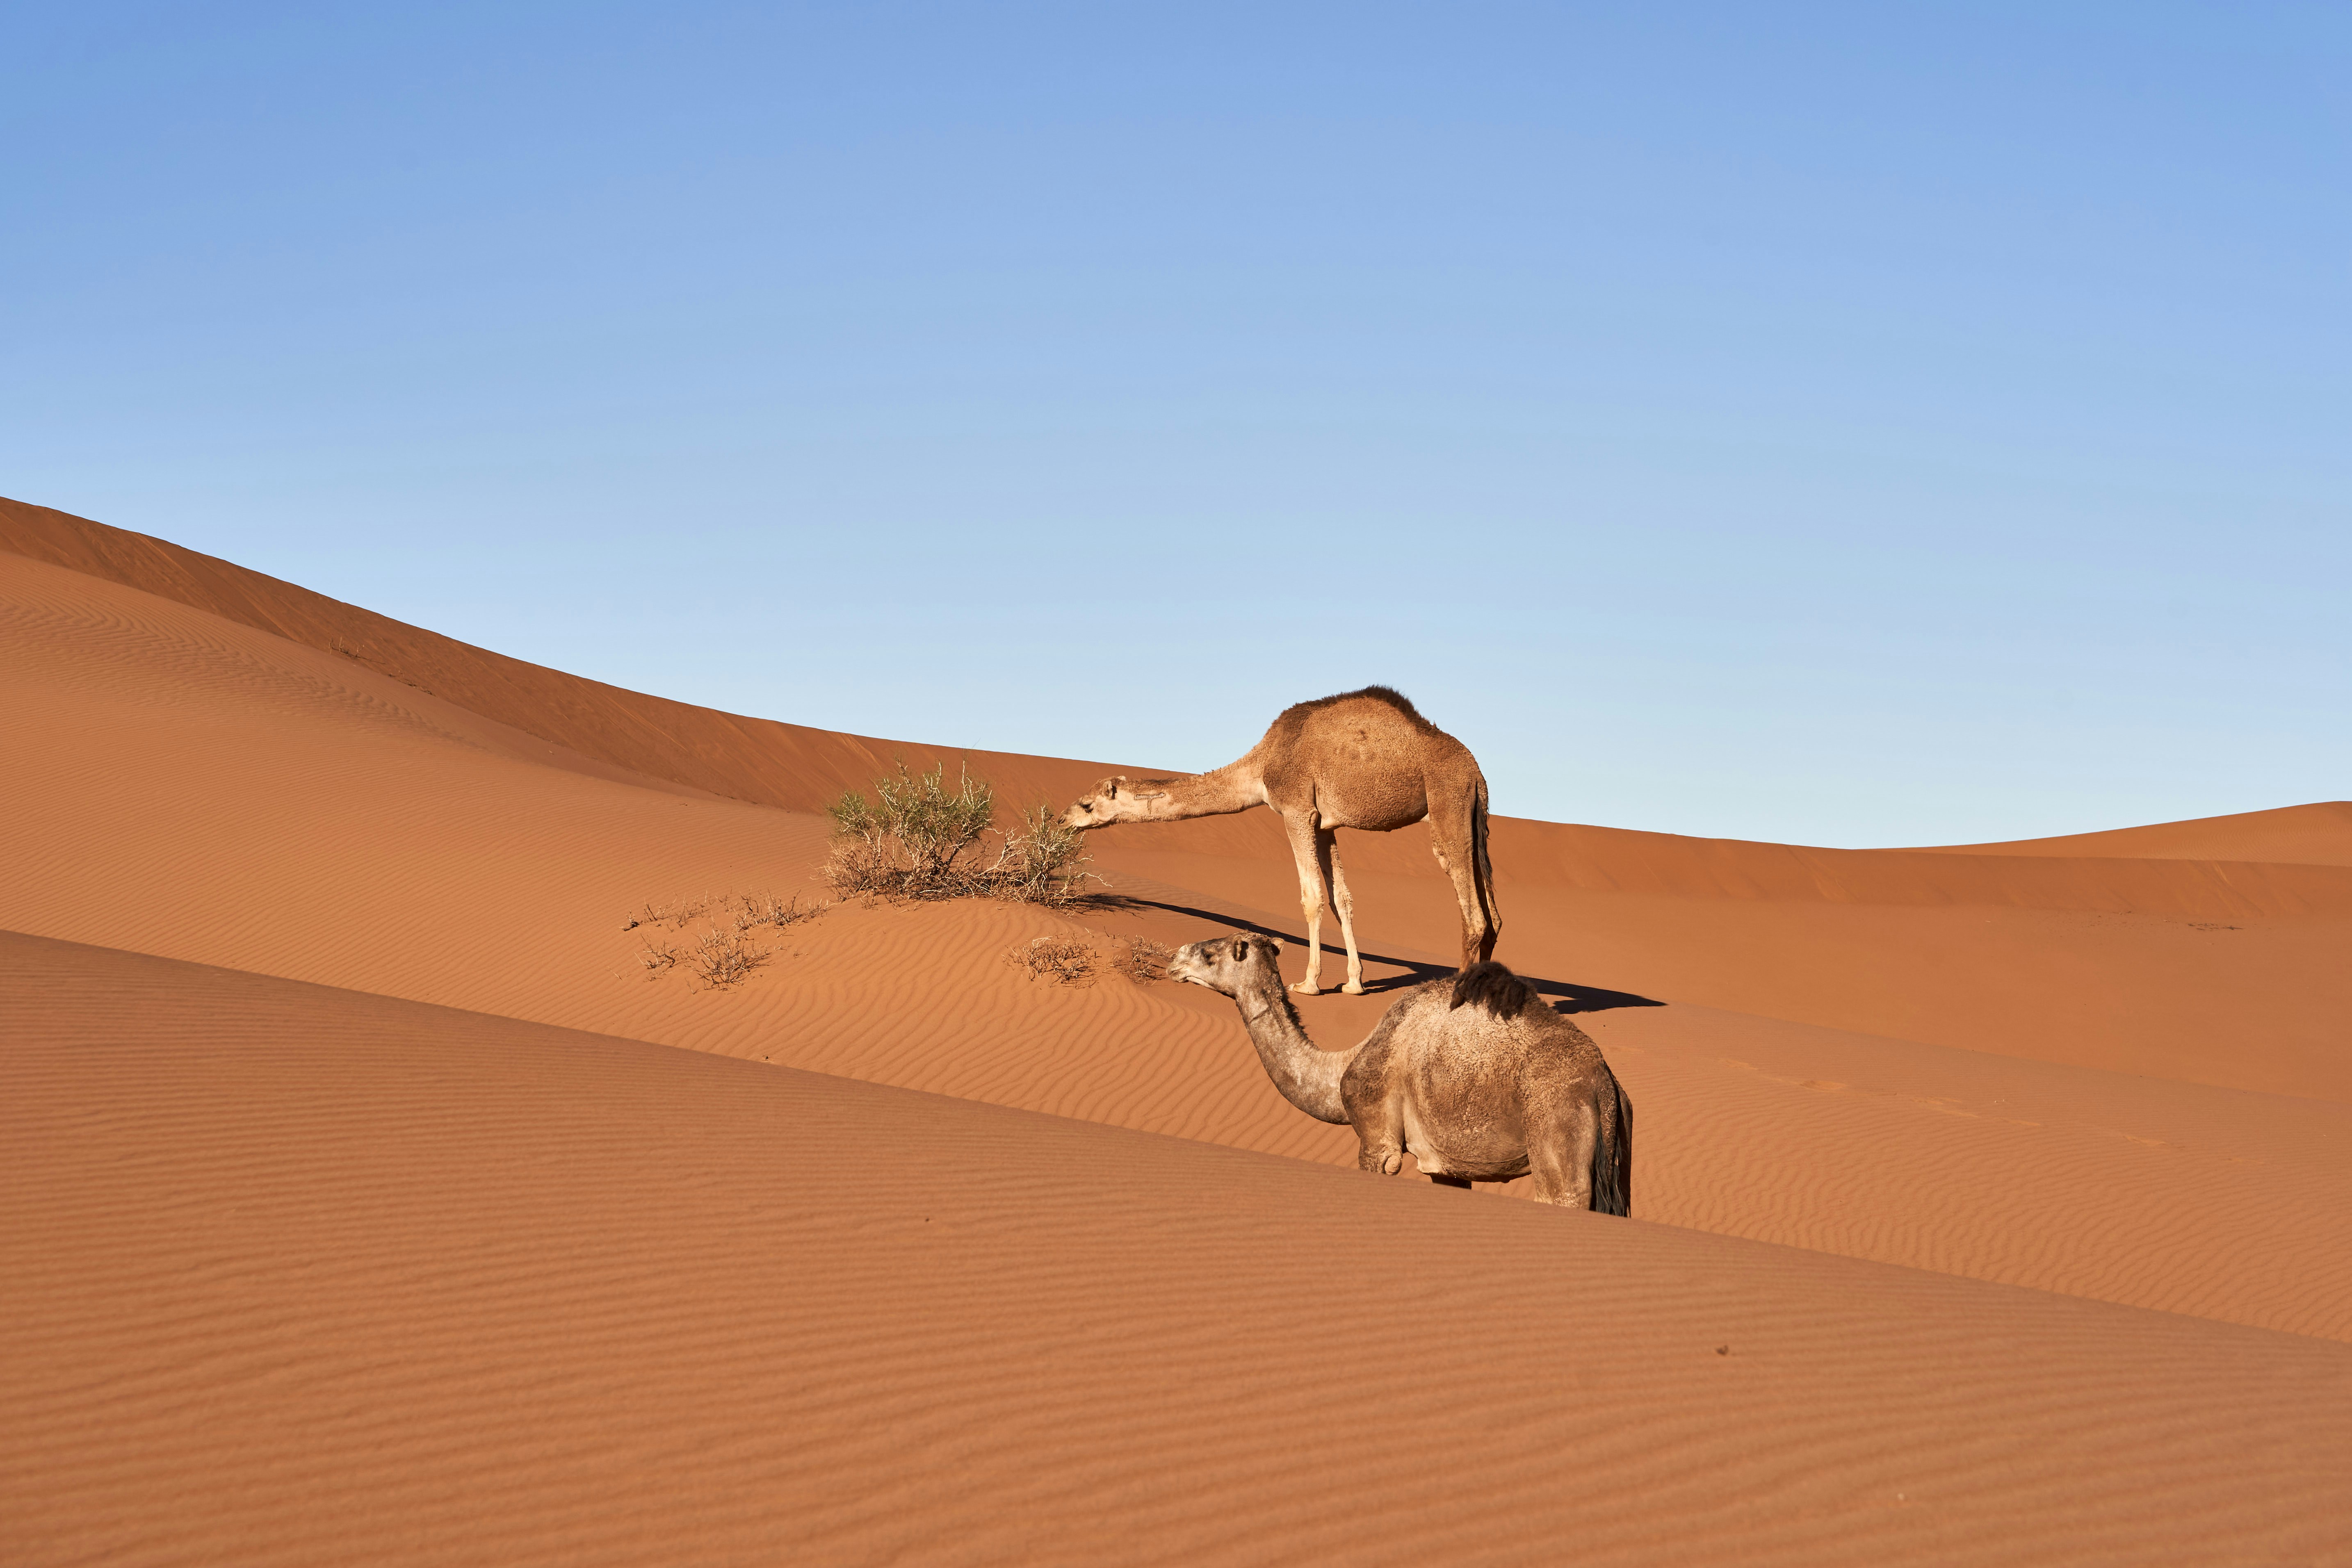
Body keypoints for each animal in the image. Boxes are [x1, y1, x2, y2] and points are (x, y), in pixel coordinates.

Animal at [1062, 686, 1498, 995]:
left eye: (1087, 804)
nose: (1064, 820)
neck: (1262, 764)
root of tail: (1475, 771)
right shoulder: (1324, 824)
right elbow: (1342, 900)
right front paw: (1354, 983)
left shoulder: (1296, 810)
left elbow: (1311, 898)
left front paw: (1309, 984)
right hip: (1476, 816)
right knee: (1493, 916)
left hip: (1448, 803)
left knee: (1473, 914)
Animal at [1169, 934, 1631, 1213]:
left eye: (1210, 953)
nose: (1174, 958)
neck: (1343, 1064)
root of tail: (1603, 1085)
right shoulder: (1448, 1166)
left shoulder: (1377, 1137)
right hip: (1618, 1156)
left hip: (1557, 1134)